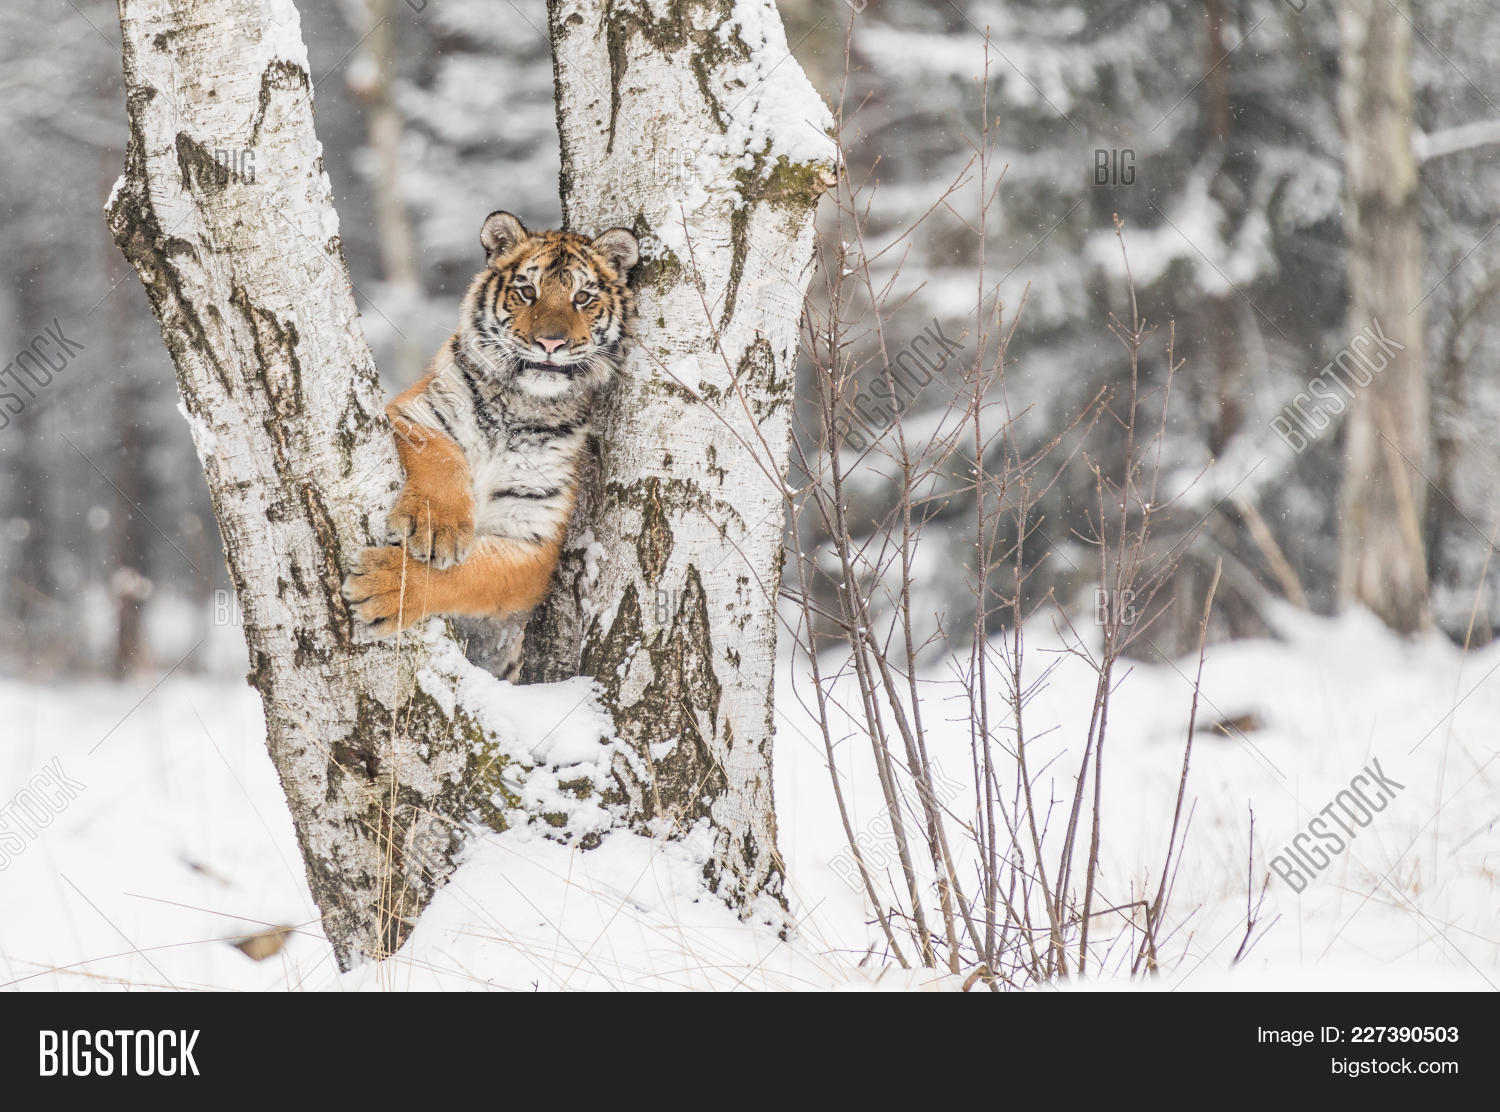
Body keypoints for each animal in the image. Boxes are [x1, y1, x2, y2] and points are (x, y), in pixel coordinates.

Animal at [342, 210, 639, 639]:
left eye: (582, 297)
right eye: (527, 291)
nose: (551, 342)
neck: (520, 407)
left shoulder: (533, 539)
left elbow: (470, 575)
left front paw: (383, 586)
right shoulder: (407, 411)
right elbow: (441, 454)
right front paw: (437, 526)